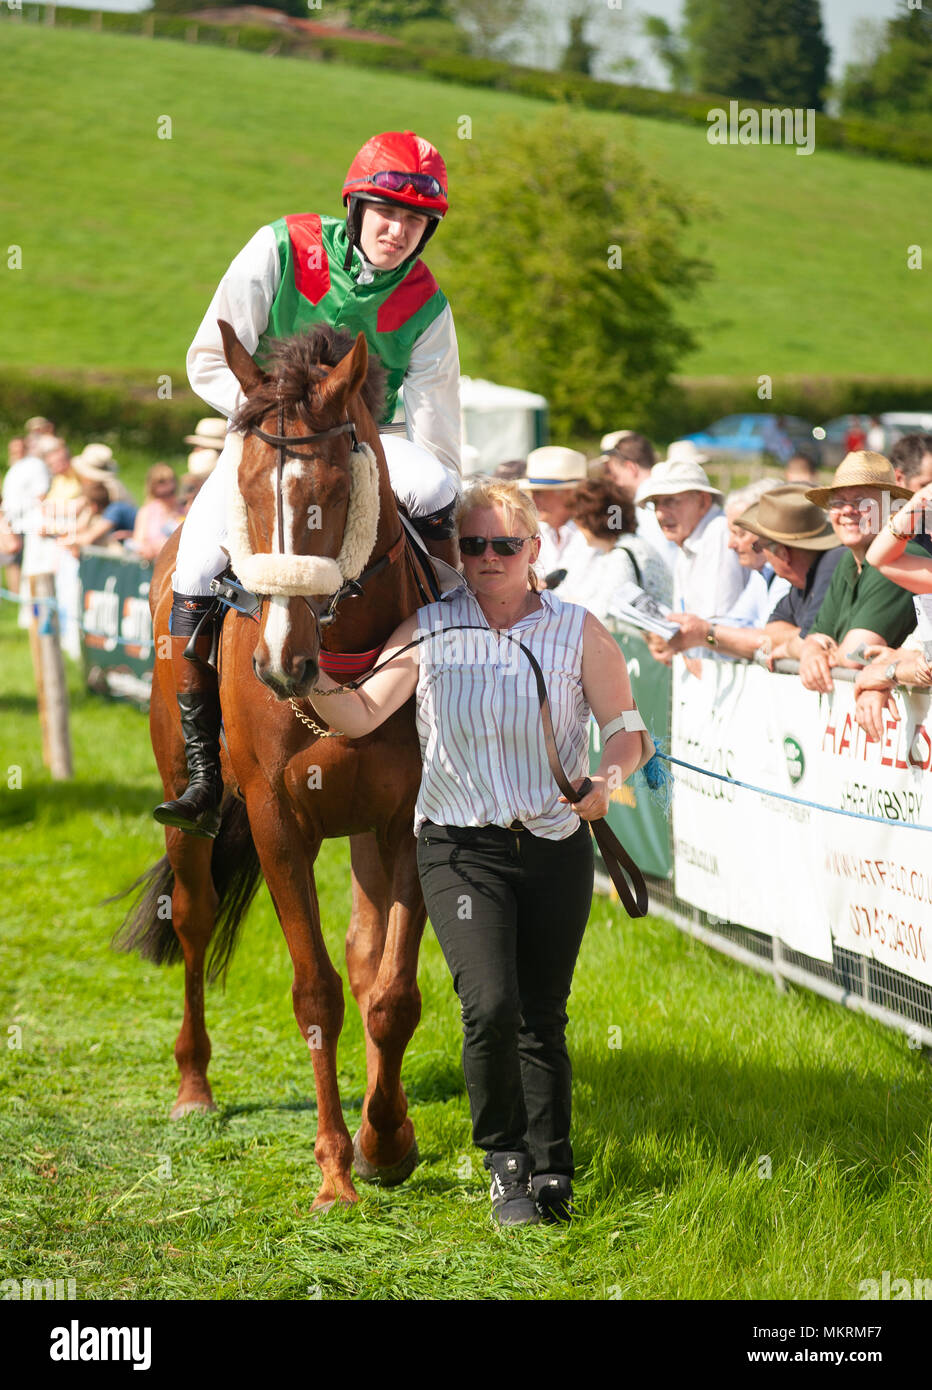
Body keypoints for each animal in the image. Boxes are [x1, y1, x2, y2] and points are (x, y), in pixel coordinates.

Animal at [115, 319, 438, 1212]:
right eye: (250, 487)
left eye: (335, 488)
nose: (282, 663)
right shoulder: (274, 819)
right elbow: (315, 989)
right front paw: (333, 1169)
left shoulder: (403, 820)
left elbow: (388, 991)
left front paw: (384, 1139)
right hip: (186, 804)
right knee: (191, 918)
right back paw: (194, 1087)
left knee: (365, 958)